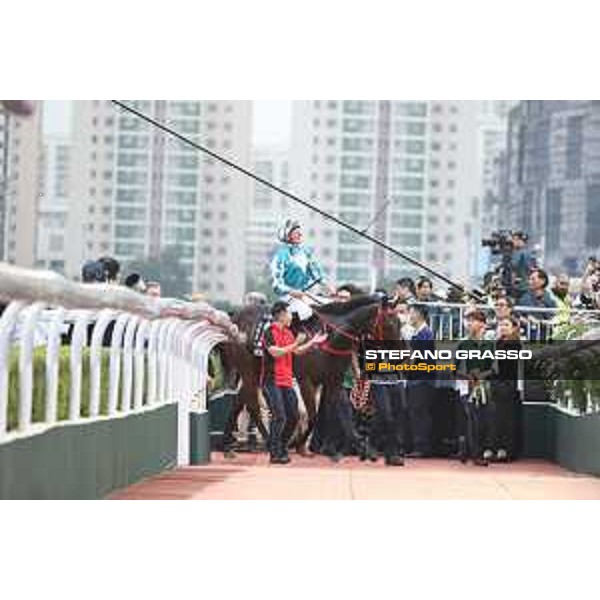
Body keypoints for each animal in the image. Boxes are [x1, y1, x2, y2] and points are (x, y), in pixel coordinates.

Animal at [218, 294, 396, 454]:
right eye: (390, 323)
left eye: (398, 323)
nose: (399, 353)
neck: (330, 337)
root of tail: (235, 318)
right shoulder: (306, 380)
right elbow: (313, 415)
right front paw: (296, 443)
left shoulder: (334, 379)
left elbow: (342, 411)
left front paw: (358, 445)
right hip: (247, 369)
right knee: (253, 405)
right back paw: (266, 441)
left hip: (255, 371)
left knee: (239, 402)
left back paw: (227, 442)